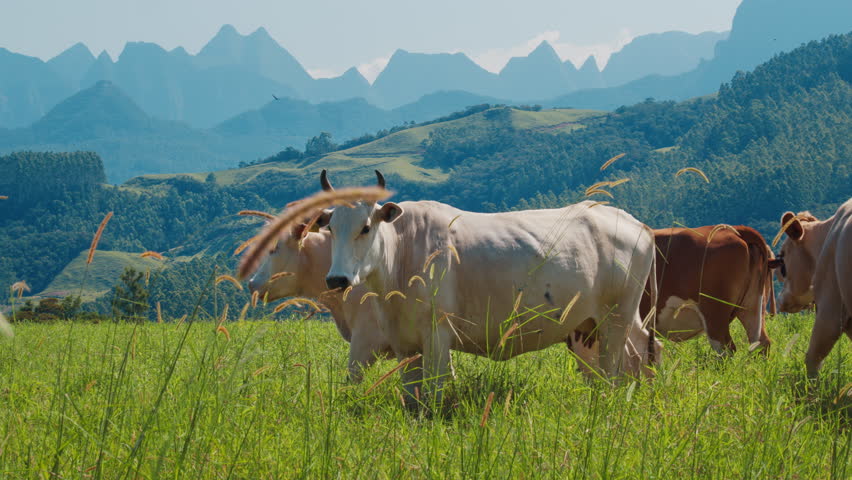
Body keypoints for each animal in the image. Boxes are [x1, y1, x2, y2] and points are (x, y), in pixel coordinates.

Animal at [317, 170, 660, 406]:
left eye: (365, 227)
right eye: (331, 228)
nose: (337, 279)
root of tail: (633, 223)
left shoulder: (437, 333)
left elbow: (434, 391)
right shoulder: (404, 343)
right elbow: (412, 397)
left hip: (616, 317)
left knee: (616, 366)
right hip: (606, 321)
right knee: (637, 353)